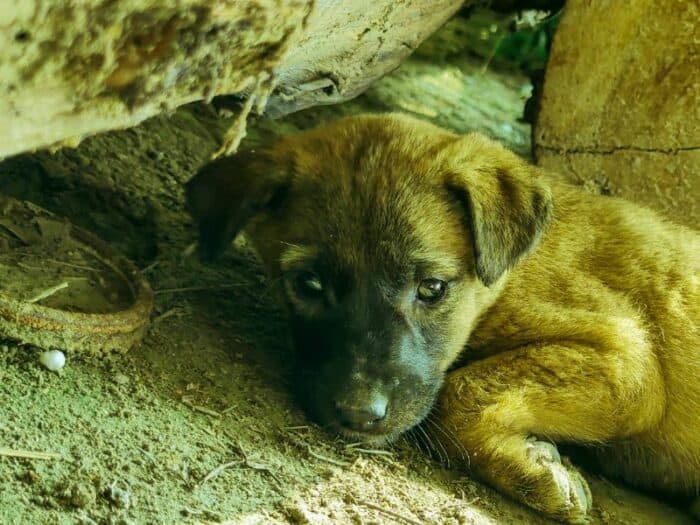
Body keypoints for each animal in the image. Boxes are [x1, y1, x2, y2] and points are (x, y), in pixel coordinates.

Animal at [183, 113, 696, 520]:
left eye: (431, 288)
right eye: (308, 284)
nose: (358, 414)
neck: (507, 276)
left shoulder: (628, 359)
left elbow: (457, 392)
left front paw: (537, 470)